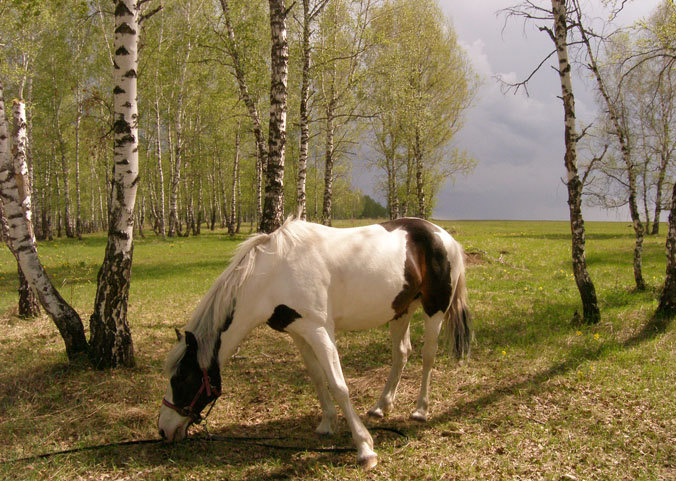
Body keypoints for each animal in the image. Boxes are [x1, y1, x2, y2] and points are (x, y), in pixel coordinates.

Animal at [158, 218, 470, 468]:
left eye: (182, 378)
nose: (163, 430)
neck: (273, 275)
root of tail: (443, 236)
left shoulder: (320, 330)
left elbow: (339, 385)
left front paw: (365, 448)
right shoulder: (299, 332)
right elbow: (318, 378)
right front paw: (327, 423)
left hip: (434, 310)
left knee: (428, 356)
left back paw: (420, 410)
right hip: (401, 310)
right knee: (401, 353)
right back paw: (381, 406)